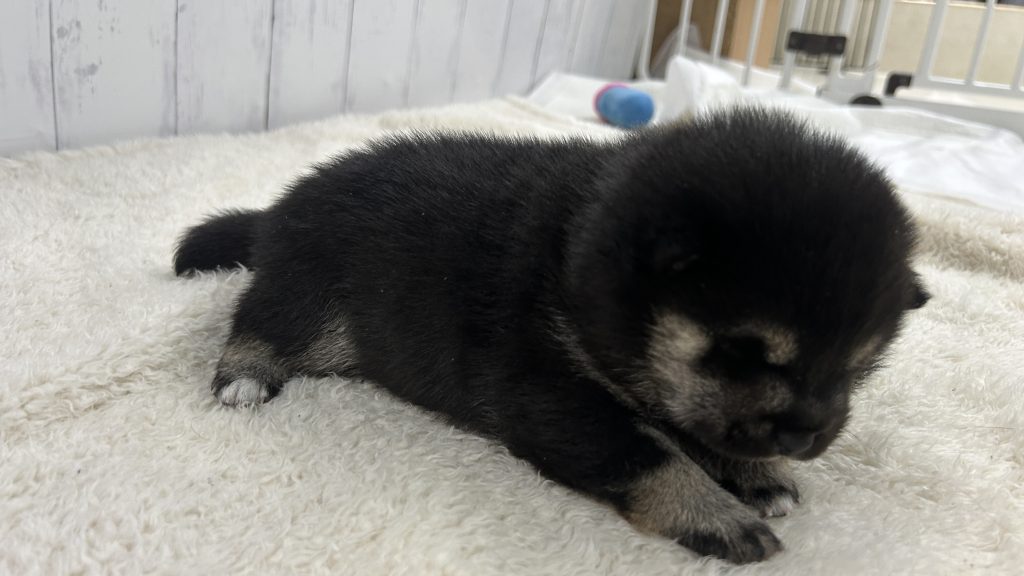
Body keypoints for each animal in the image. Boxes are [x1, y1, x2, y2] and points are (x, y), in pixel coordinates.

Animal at [175, 107, 928, 563]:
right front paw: (714, 513)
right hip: (314, 293)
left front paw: (757, 475)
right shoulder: (547, 392)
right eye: (743, 352)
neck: (578, 260)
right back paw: (244, 375)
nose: (805, 436)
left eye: (857, 368)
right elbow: (647, 453)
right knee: (262, 320)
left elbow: (692, 429)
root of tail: (282, 206)